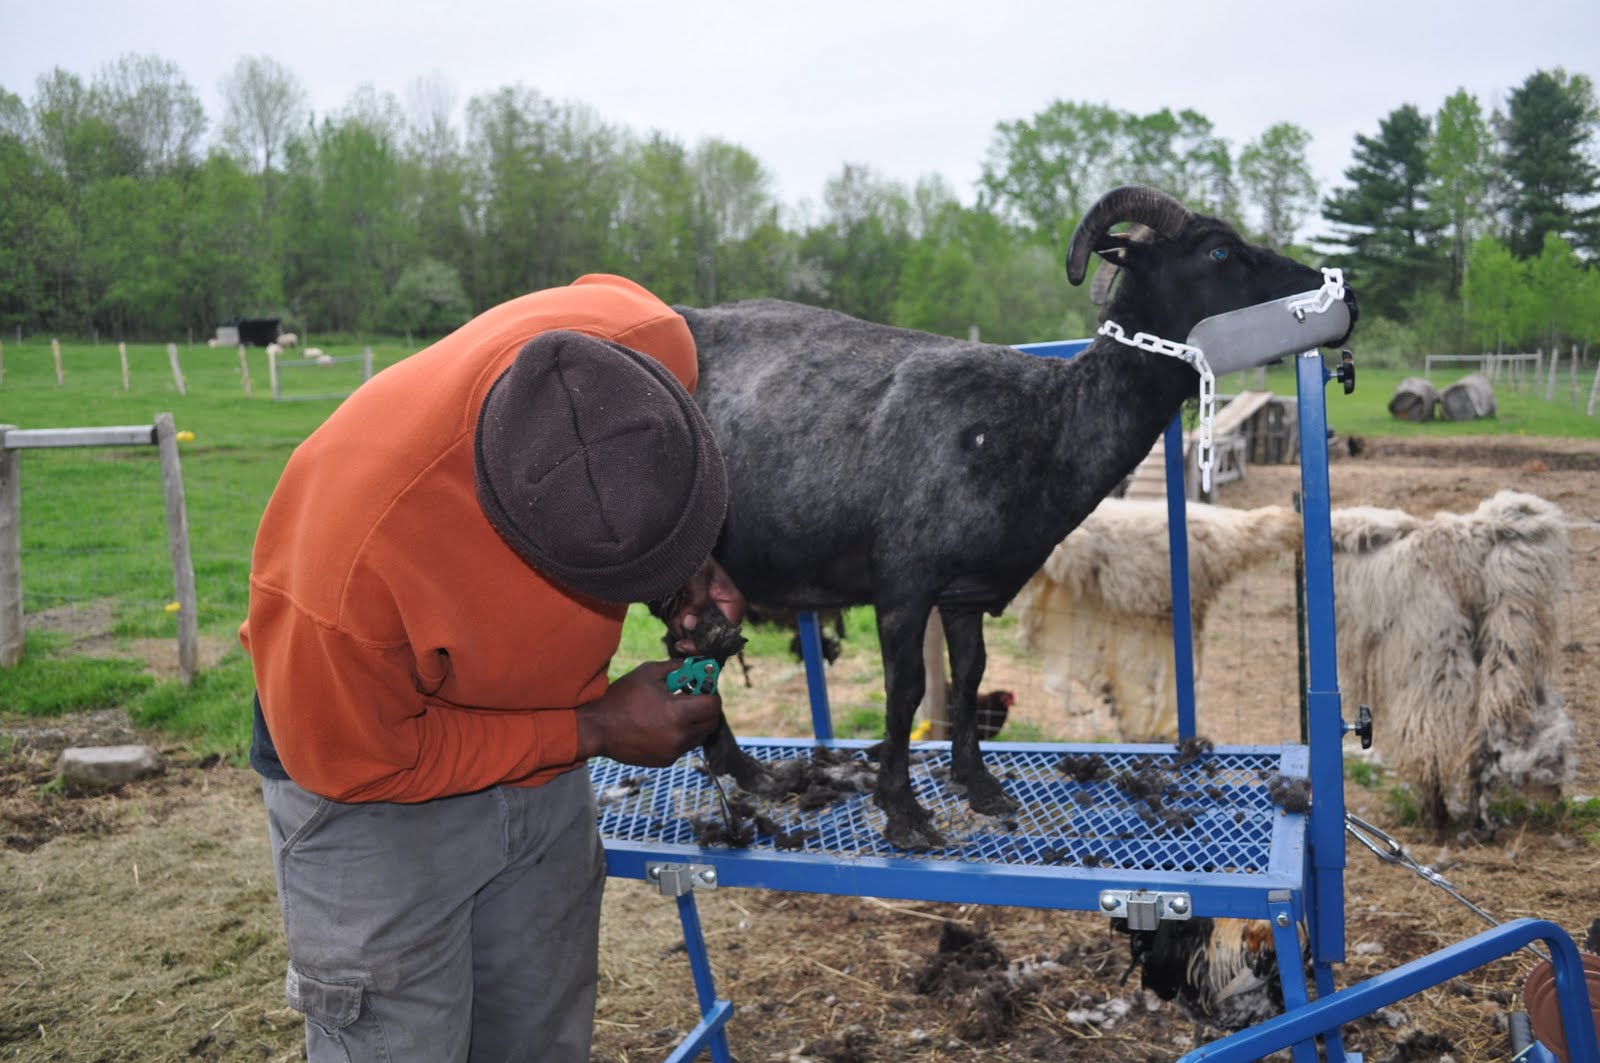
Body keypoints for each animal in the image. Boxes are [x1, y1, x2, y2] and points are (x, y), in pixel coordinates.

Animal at [1328, 489, 1573, 829]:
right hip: (1504, 641)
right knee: (1496, 727)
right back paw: (1481, 816)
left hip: (1436, 657)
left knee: (1434, 737)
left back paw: (1437, 815)